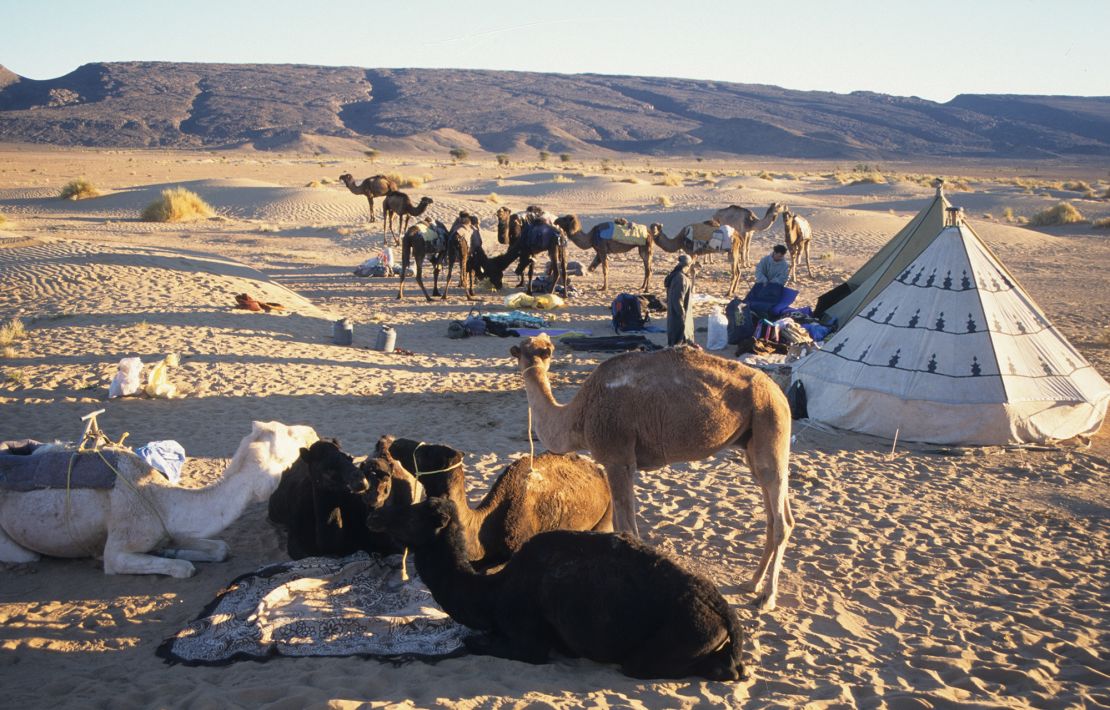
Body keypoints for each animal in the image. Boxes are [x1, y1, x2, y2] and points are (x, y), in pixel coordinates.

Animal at [0, 421, 317, 576]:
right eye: (290, 435)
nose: (313, 432)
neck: (159, 498)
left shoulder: (173, 528)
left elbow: (220, 548)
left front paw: (168, 551)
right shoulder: (119, 548)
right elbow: (183, 570)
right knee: (27, 555)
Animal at [515, 335, 794, 612]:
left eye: (542, 350)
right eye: (524, 350)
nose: (534, 353)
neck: (578, 417)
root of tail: (779, 392)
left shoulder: (617, 458)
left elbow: (627, 528)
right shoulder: (618, 463)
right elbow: (620, 525)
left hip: (771, 424)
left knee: (781, 519)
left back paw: (767, 597)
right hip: (752, 443)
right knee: (773, 513)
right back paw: (752, 583)